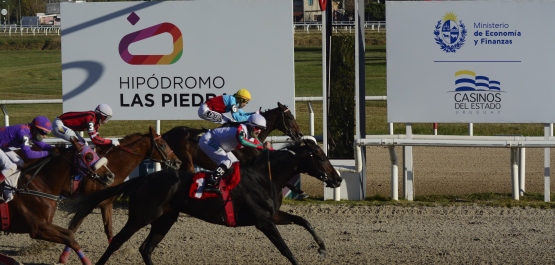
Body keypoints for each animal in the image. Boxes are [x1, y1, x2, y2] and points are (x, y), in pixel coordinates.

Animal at [0, 136, 114, 264]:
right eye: (89, 156)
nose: (110, 176)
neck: (39, 185)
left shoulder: (47, 224)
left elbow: (70, 234)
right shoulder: (37, 228)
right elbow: (72, 241)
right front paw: (86, 262)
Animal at [59, 126, 184, 262]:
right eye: (162, 144)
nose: (178, 162)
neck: (111, 166)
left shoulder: (106, 203)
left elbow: (108, 229)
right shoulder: (86, 205)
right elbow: (73, 228)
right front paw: (63, 257)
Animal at [67, 139, 340, 262]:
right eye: (319, 156)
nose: (337, 179)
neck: (263, 177)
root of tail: (144, 179)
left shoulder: (272, 215)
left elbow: (303, 221)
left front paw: (322, 247)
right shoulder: (263, 221)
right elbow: (285, 249)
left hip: (165, 219)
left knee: (146, 248)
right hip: (141, 216)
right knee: (117, 242)